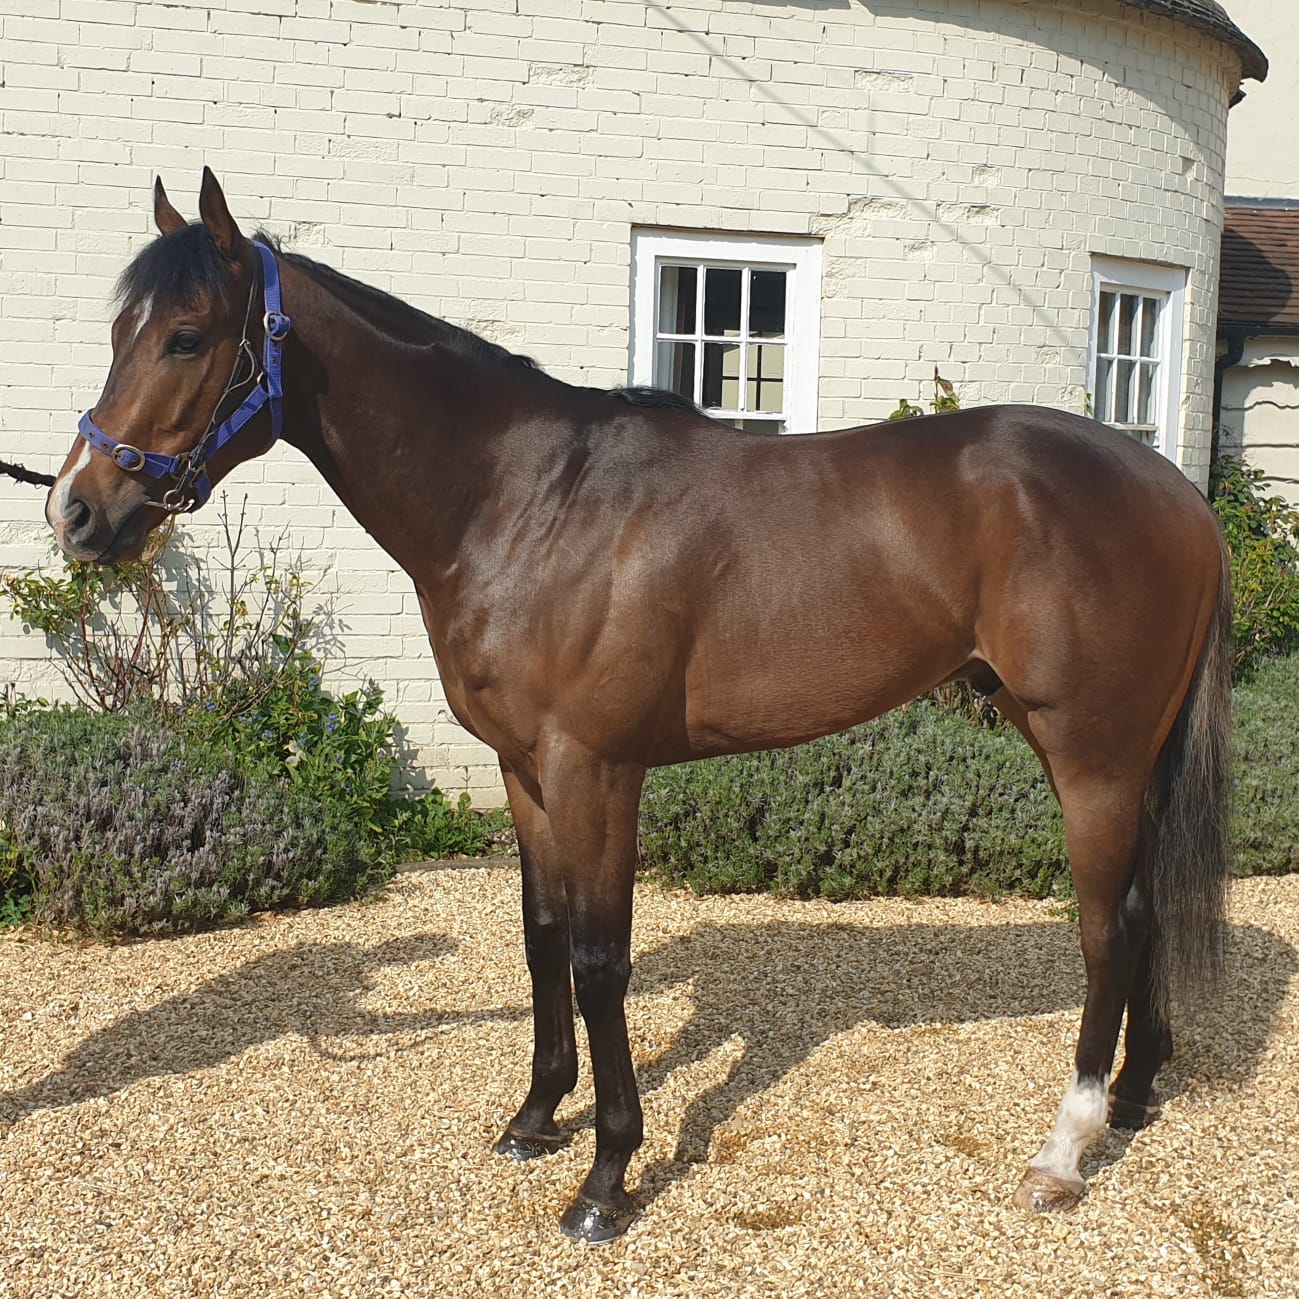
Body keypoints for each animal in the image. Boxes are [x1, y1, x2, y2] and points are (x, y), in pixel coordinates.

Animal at [44, 169, 1232, 1243]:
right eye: (117, 330)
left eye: (187, 336)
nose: (77, 510)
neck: (524, 502)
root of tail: (1178, 496)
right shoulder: (525, 769)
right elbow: (540, 939)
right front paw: (534, 1119)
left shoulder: (596, 767)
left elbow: (599, 961)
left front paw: (606, 1177)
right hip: (1104, 750)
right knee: (1144, 913)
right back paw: (1135, 1095)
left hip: (1091, 756)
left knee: (1107, 928)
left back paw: (1064, 1149)